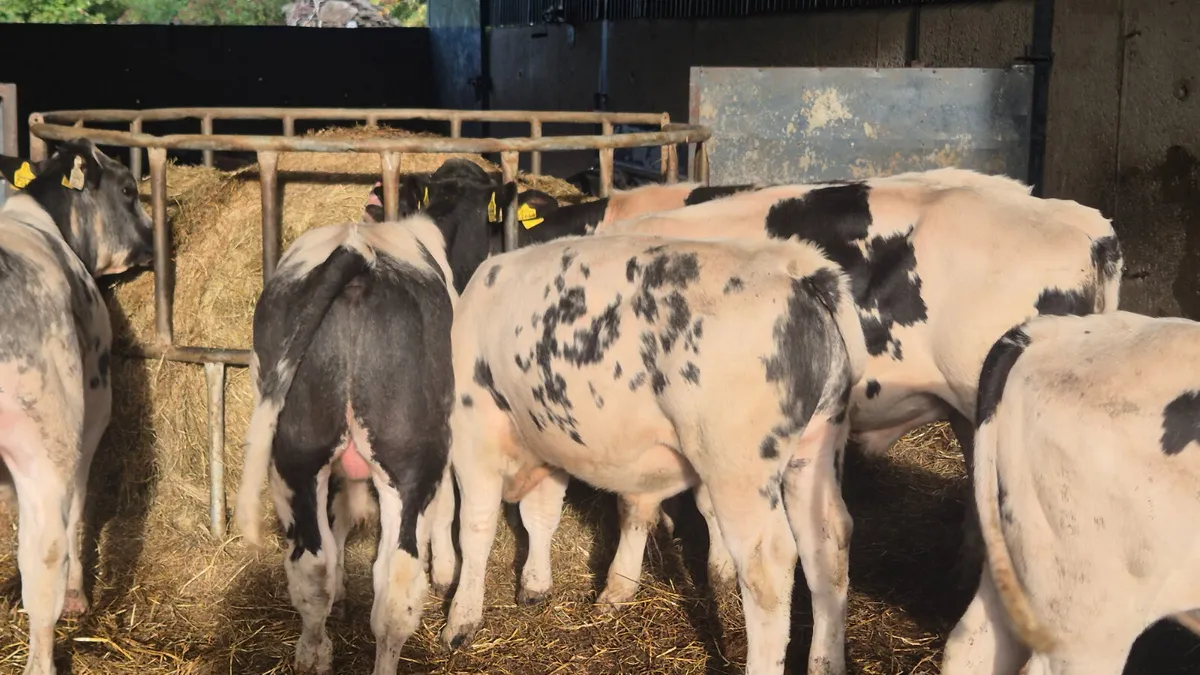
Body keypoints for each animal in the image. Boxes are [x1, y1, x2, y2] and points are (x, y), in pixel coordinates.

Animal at [0, 139, 154, 675]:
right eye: (128, 189)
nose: (155, 240)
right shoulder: (90, 413)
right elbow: (78, 511)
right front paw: (76, 596)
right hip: (46, 441)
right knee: (42, 560)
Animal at [233, 157, 513, 675]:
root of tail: (356, 261)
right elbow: (447, 511)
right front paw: (445, 569)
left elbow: (340, 521)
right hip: (411, 458)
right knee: (395, 588)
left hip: (293, 453)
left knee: (311, 566)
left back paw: (314, 652)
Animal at [435, 231, 868, 675]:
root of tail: (795, 264)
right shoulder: (548, 440)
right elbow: (550, 514)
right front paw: (543, 585)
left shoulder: (472, 433)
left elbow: (476, 527)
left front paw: (460, 619)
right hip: (817, 445)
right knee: (829, 539)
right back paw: (826, 662)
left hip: (738, 465)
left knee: (769, 564)